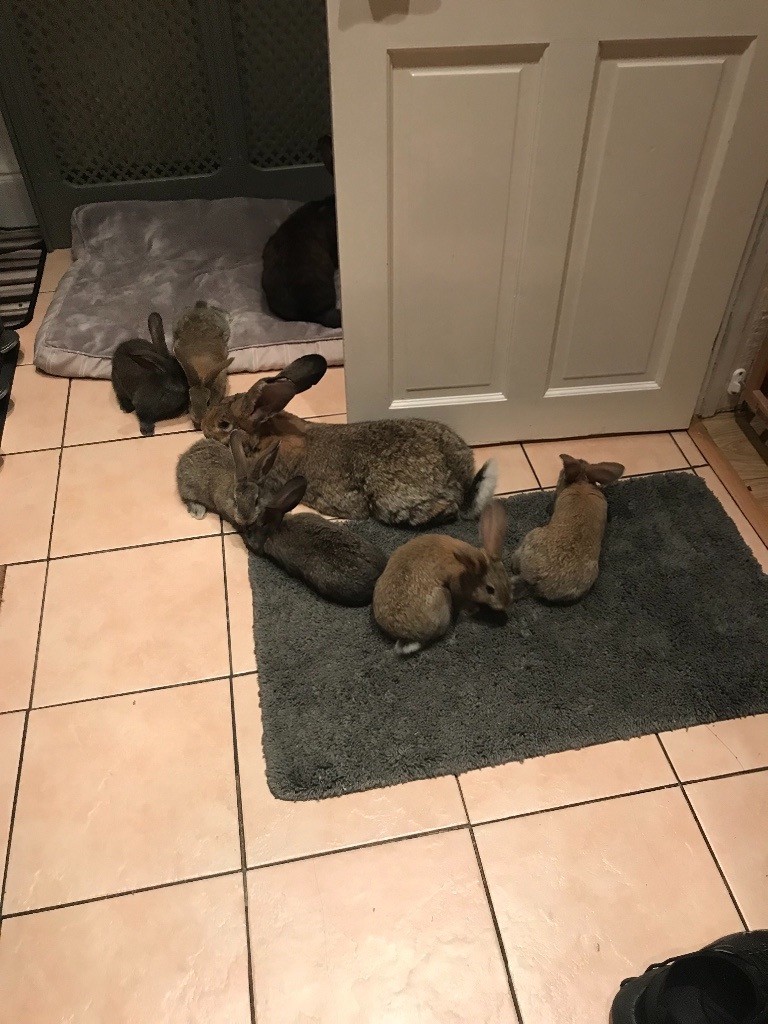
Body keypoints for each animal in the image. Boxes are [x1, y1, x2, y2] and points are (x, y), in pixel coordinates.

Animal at [373, 500, 511, 654]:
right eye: (490, 589)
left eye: (506, 579)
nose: (504, 604)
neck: (468, 573)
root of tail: (410, 636)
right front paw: (473, 609)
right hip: (444, 597)